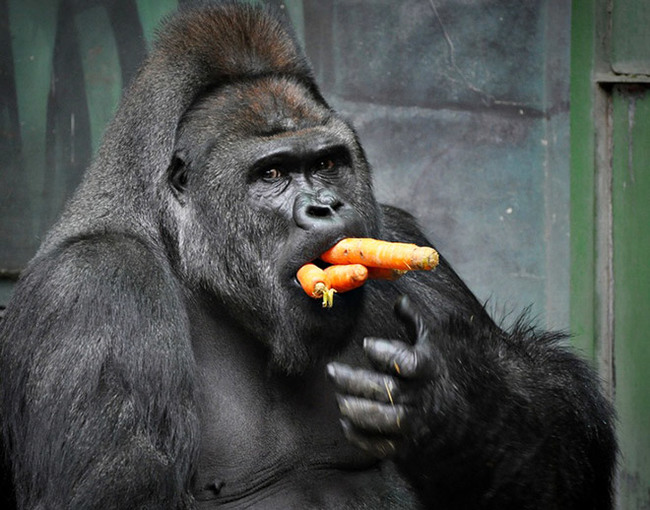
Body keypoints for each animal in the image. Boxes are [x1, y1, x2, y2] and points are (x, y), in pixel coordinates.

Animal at [0, 1, 612, 508]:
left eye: (326, 163)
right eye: (272, 174)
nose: (325, 207)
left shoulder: (400, 232)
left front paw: (460, 404)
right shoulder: (95, 292)